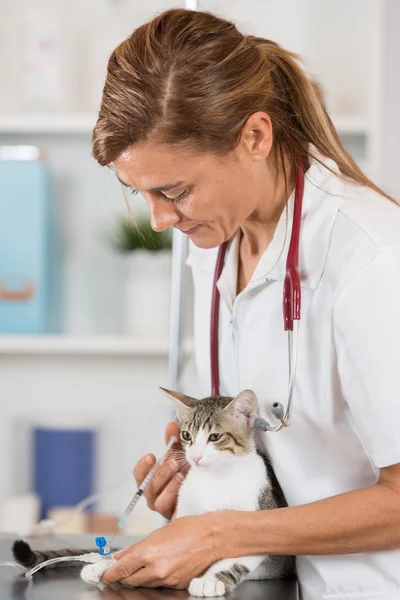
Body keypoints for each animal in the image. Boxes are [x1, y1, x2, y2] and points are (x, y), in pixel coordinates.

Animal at [13, 390, 294, 596]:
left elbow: (236, 554)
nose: (195, 456)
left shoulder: (255, 518)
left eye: (215, 437)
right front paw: (107, 563)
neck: (216, 479)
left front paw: (211, 579)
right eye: (187, 435)